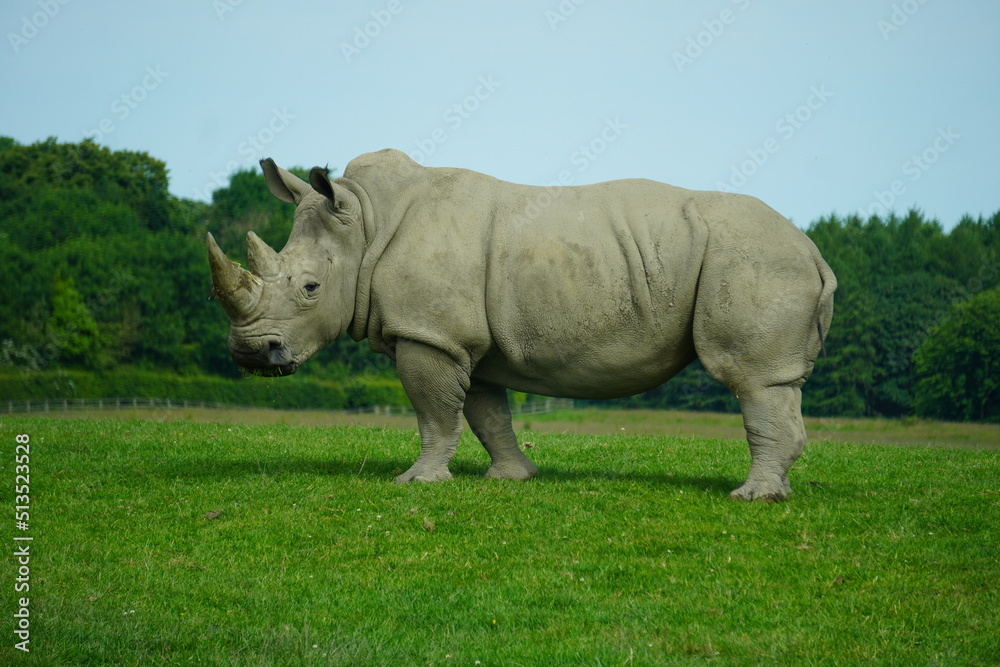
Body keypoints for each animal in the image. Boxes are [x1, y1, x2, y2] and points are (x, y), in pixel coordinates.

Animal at [207, 149, 836, 501]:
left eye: (310, 289)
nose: (249, 353)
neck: (365, 223)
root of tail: (814, 250)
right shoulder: (463, 339)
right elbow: (485, 413)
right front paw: (512, 478)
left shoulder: (429, 333)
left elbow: (434, 412)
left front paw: (418, 484)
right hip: (763, 257)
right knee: (773, 385)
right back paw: (773, 491)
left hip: (756, 257)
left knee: (752, 379)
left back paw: (752, 498)